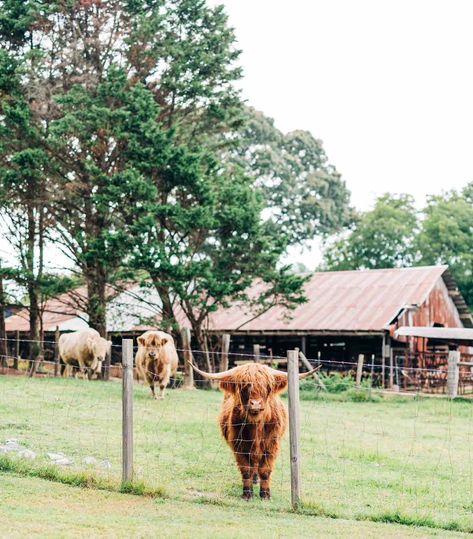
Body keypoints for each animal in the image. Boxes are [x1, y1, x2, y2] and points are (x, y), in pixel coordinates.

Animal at [188, 360, 318, 500]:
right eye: (243, 386)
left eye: (267, 386)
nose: (255, 404)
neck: (256, 427)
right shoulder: (239, 446)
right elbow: (246, 470)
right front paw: (247, 493)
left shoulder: (271, 446)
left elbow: (265, 470)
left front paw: (265, 494)